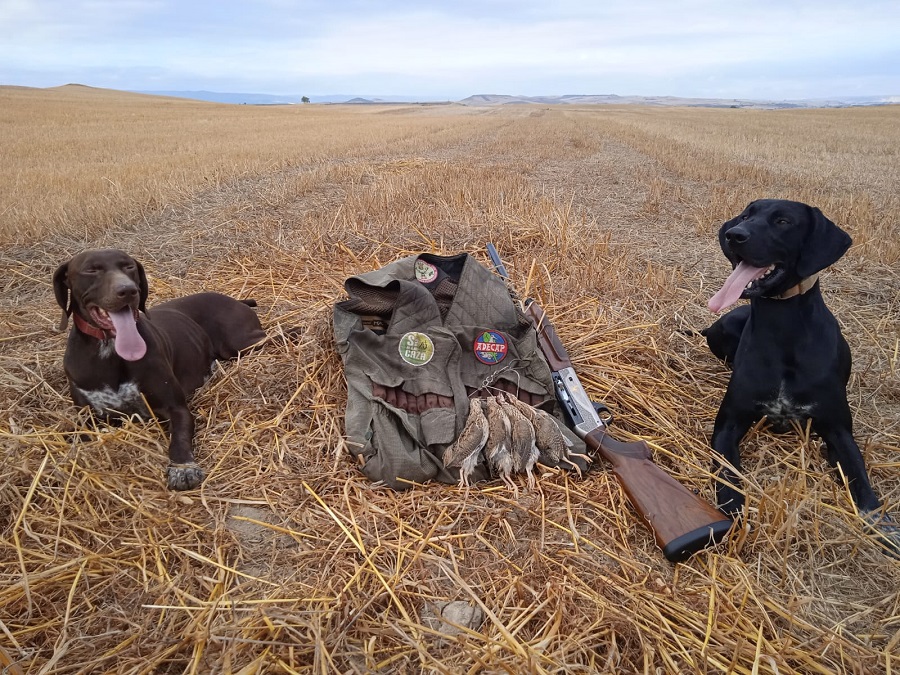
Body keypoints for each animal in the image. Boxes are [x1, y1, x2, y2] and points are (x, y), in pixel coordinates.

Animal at [54, 248, 266, 492]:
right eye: (91, 269)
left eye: (129, 266)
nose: (128, 290)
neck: (109, 349)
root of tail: (236, 300)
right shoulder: (86, 418)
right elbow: (78, 433)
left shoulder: (176, 408)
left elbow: (179, 439)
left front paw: (183, 468)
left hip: (240, 343)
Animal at [708, 198, 896, 552]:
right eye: (746, 215)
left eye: (783, 221)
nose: (733, 234)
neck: (784, 329)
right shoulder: (728, 425)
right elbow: (727, 475)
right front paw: (734, 512)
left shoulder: (838, 430)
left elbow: (860, 477)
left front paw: (883, 525)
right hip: (722, 328)